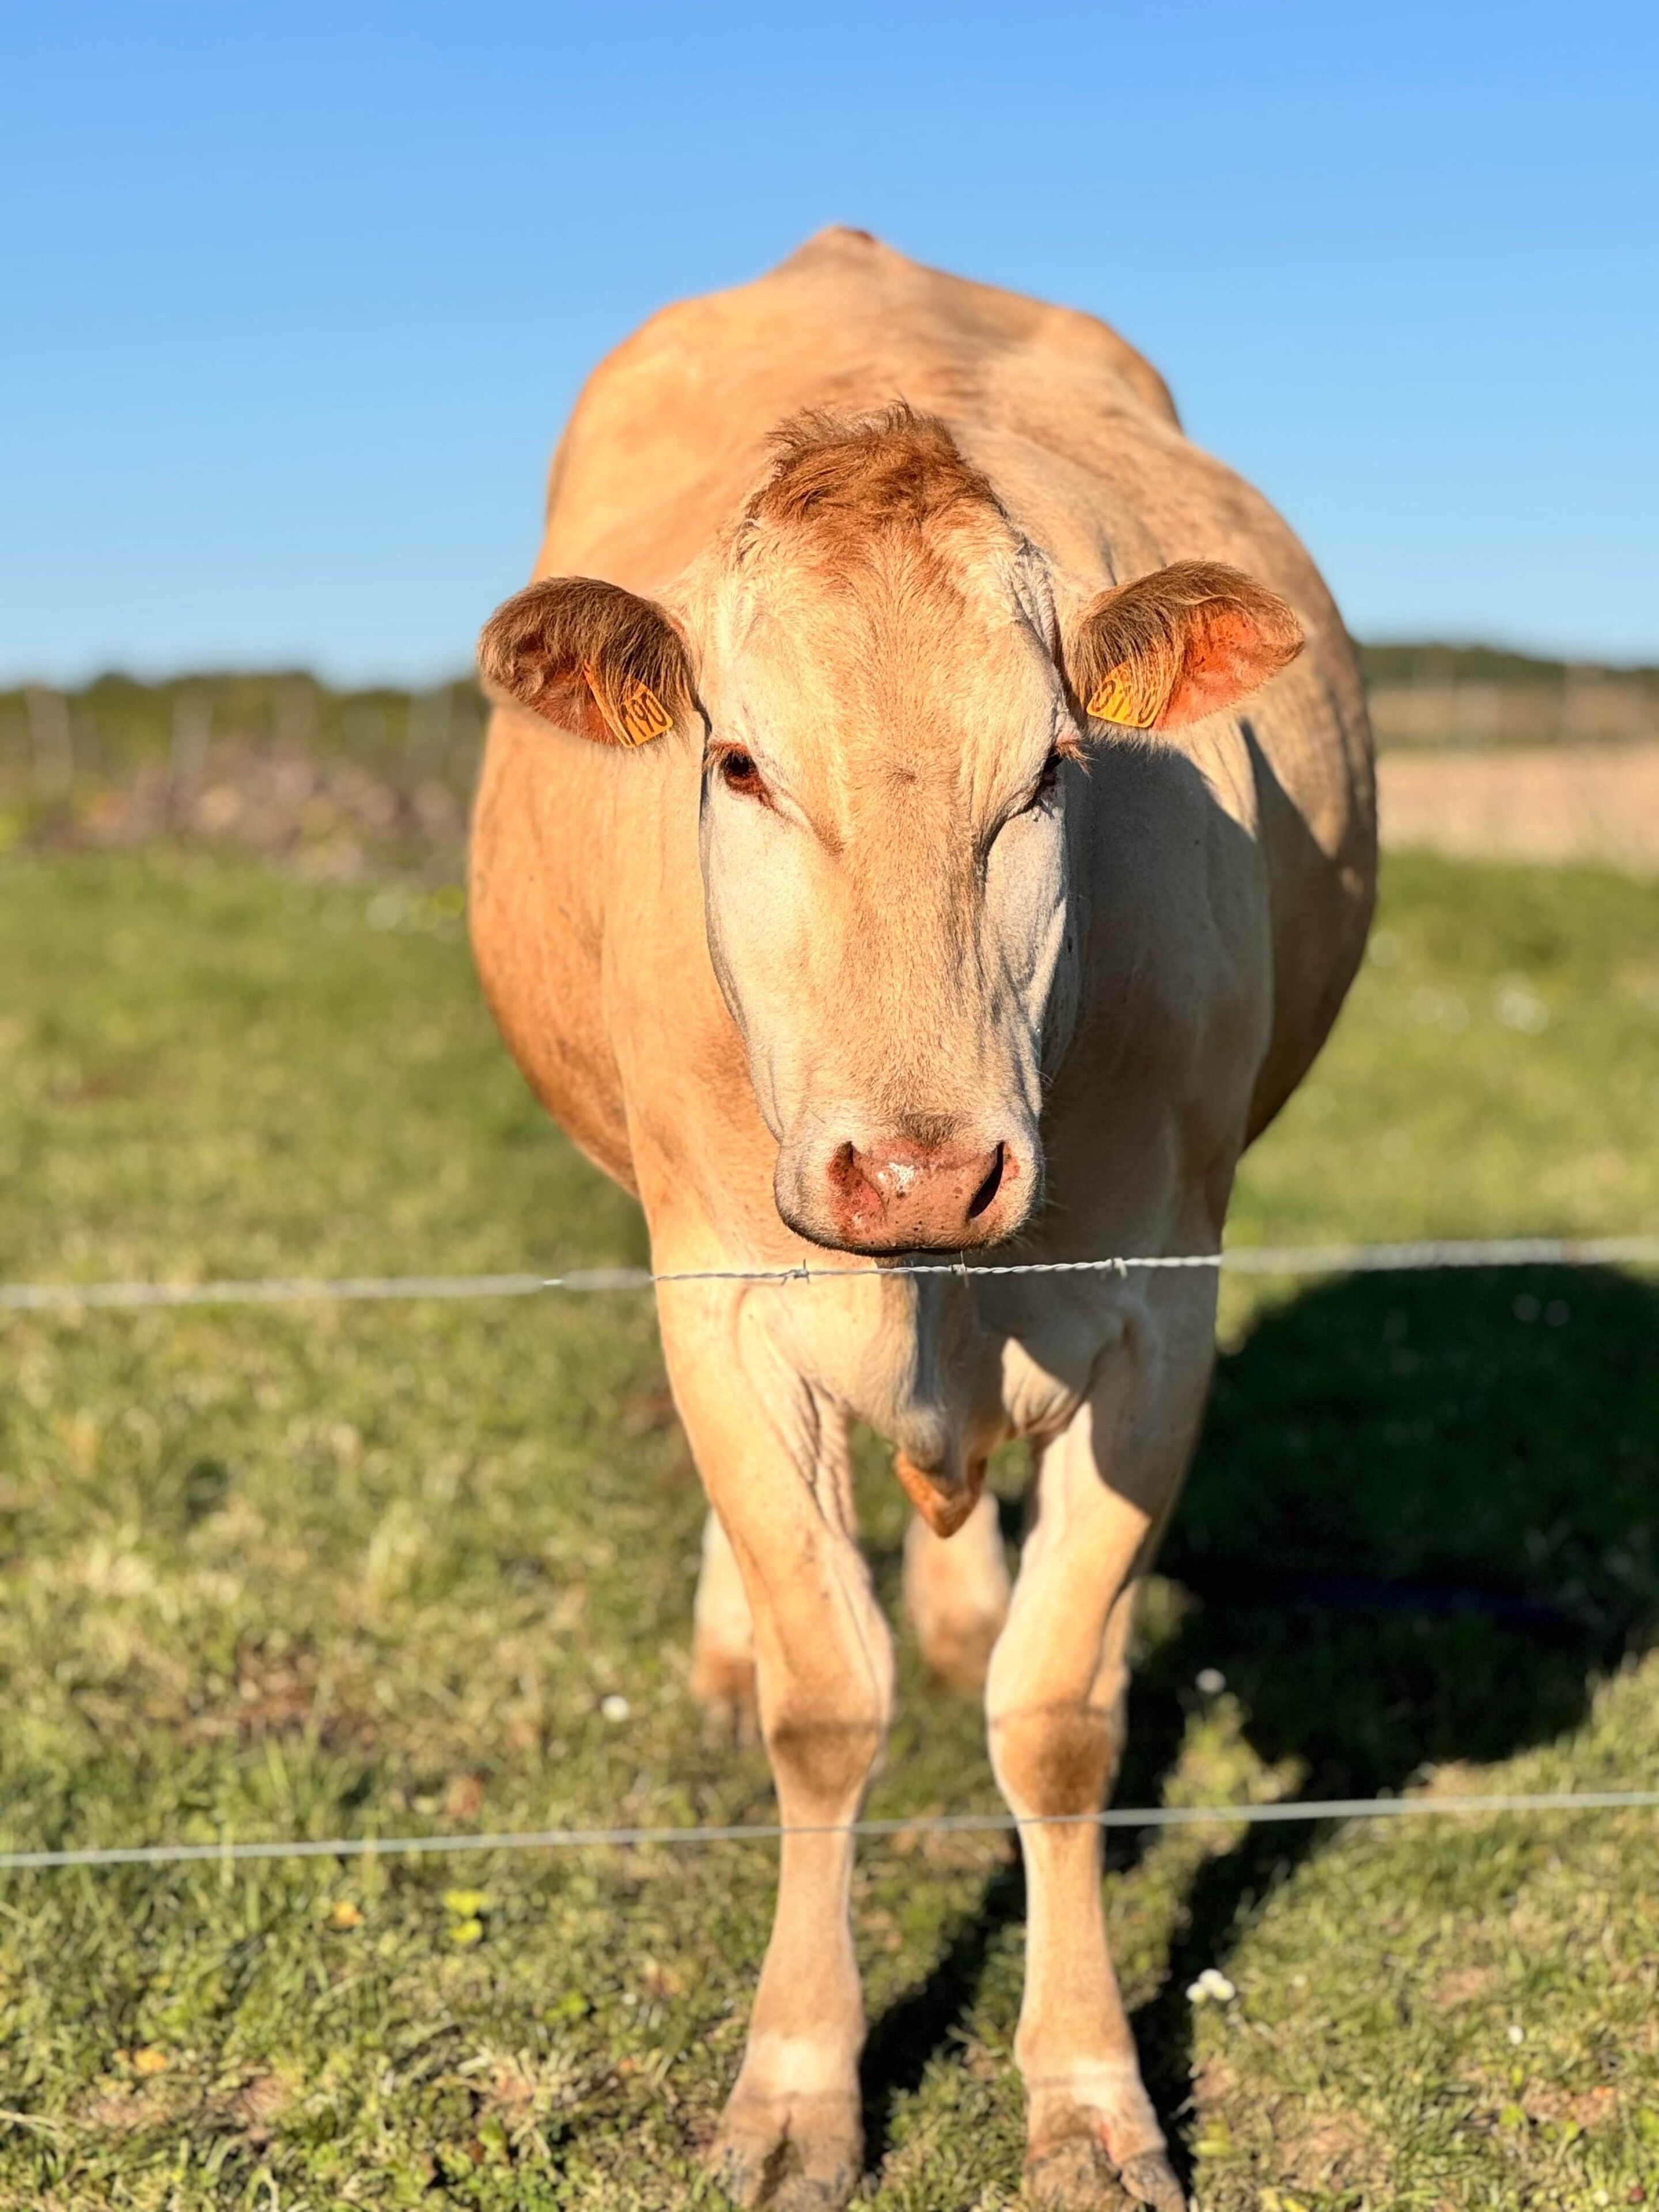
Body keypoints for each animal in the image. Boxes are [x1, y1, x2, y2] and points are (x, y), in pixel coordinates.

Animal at [469, 227, 1375, 2210]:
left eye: (1047, 772)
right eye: (738, 765)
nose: (917, 1173)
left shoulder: (1159, 1309)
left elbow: (1061, 1716)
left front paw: (1093, 2093)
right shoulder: (722, 1296)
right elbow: (829, 1702)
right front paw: (797, 2082)